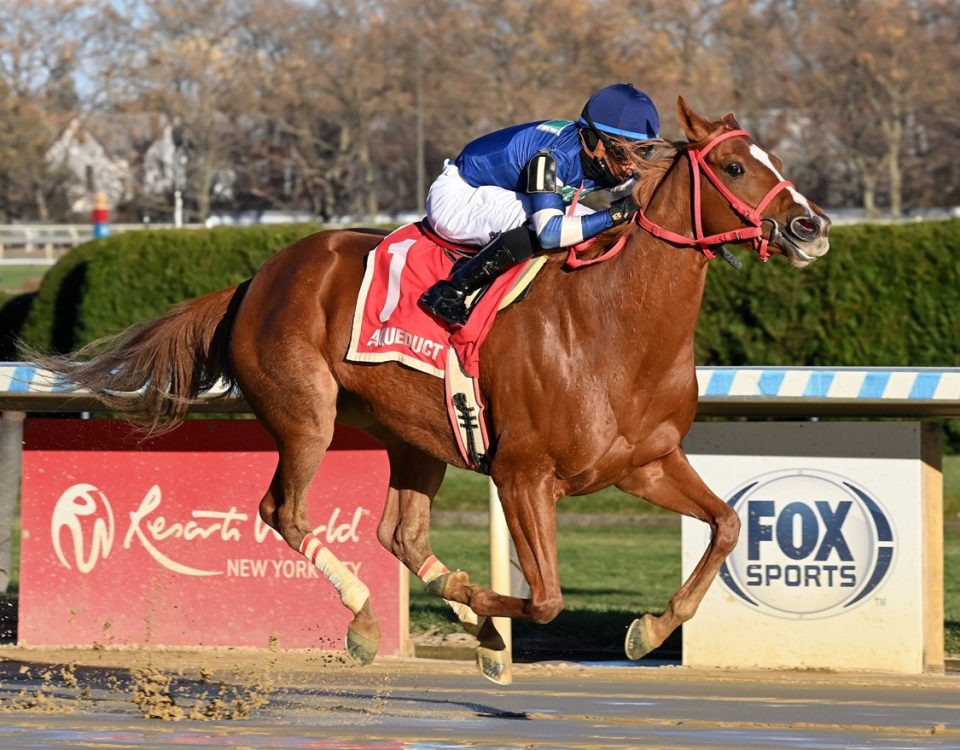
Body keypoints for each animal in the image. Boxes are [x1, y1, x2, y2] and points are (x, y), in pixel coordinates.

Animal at [37, 100, 828, 688]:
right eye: (732, 165)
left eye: (772, 162)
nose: (811, 226)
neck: (613, 328)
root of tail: (254, 279)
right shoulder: (521, 474)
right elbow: (546, 599)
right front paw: (486, 614)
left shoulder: (645, 463)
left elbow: (726, 524)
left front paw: (648, 627)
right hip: (307, 417)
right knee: (283, 511)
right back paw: (365, 619)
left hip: (415, 437)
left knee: (399, 534)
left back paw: (459, 623)